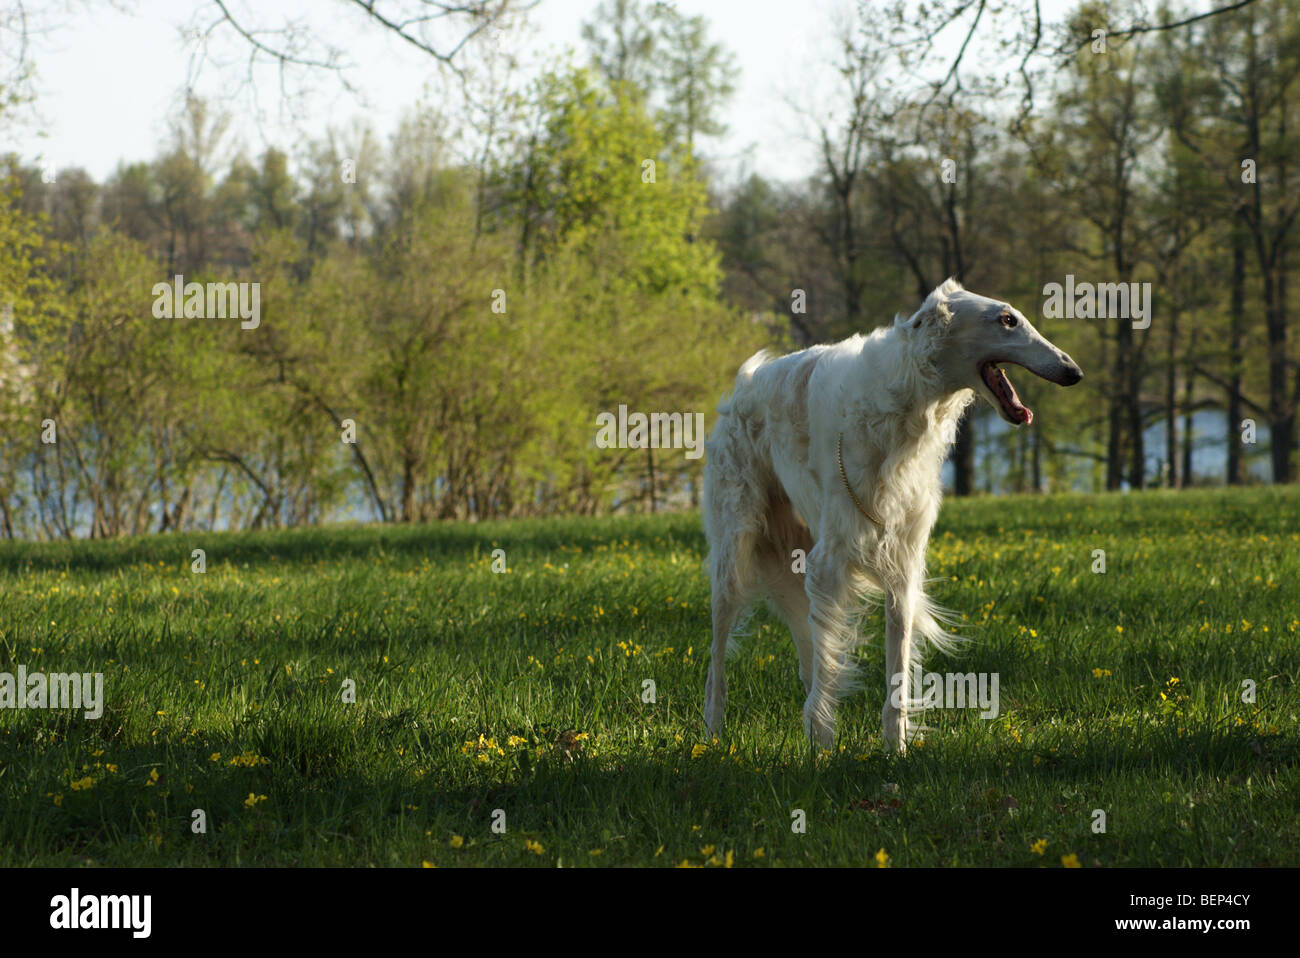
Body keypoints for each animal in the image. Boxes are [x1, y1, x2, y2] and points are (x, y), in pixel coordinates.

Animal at [707, 280, 1081, 748]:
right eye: (1007, 319)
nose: (1073, 371)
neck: (904, 403)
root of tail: (745, 381)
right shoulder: (829, 563)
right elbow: (829, 673)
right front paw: (822, 748)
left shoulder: (902, 564)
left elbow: (895, 678)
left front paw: (894, 748)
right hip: (733, 553)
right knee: (719, 662)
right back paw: (713, 732)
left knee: (808, 661)